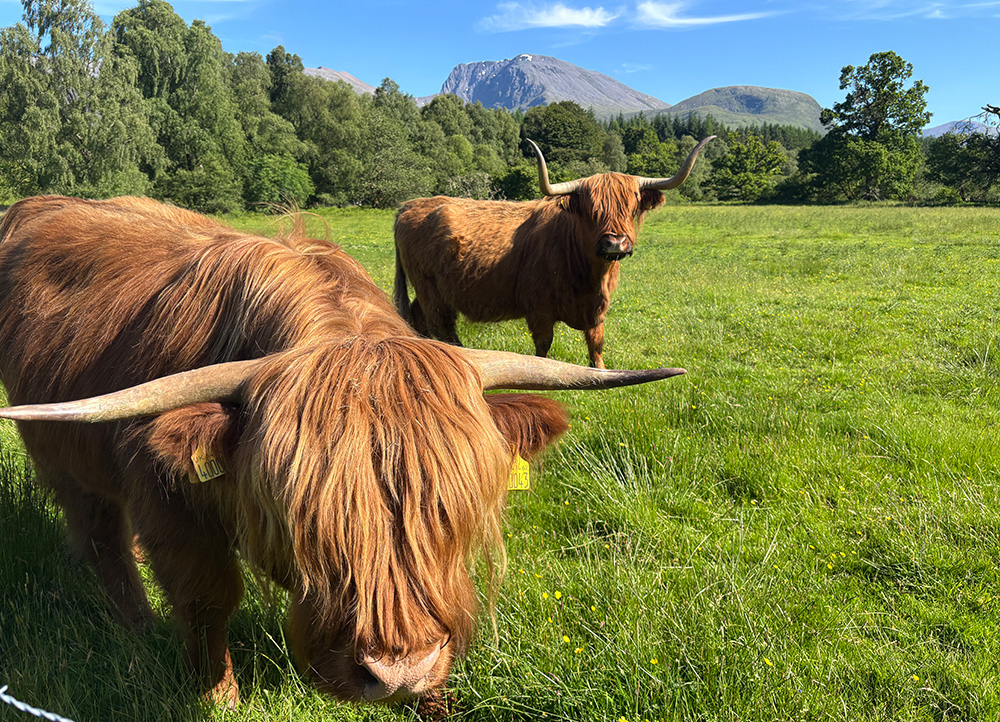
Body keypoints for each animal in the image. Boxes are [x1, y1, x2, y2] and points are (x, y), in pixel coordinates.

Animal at [0, 195, 686, 706]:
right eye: (306, 519)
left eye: (451, 513)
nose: (398, 675)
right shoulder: (167, 503)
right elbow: (207, 597)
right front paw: (219, 696)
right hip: (62, 454)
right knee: (99, 535)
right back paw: (138, 627)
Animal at [393, 136, 714, 369]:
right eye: (591, 210)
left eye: (631, 207)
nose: (614, 244)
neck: (590, 276)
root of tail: (409, 205)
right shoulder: (539, 309)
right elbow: (543, 346)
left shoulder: (599, 308)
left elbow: (596, 342)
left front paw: (601, 371)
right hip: (431, 290)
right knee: (442, 326)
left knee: (418, 318)